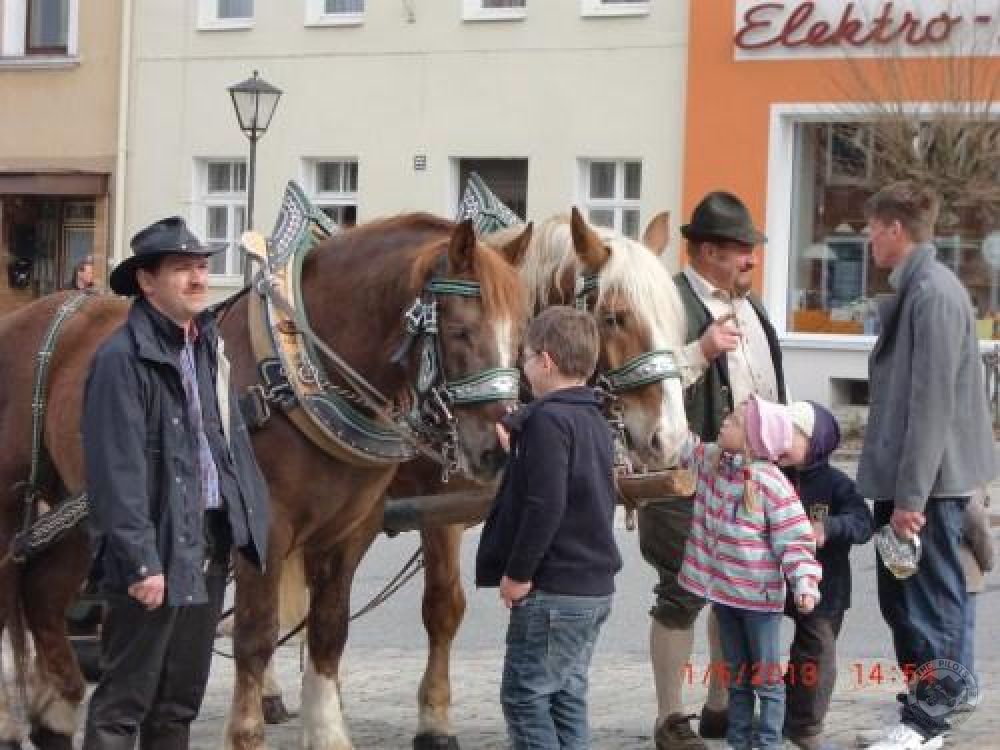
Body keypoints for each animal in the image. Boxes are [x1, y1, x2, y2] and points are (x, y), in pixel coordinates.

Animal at [0, 213, 530, 750]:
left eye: (521, 333)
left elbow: (329, 629)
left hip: (83, 514)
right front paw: (248, 730)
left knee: (42, 595)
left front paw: (328, 731)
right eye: (461, 330)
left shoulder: (350, 532)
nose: (497, 448)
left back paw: (56, 713)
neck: (295, 379)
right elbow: (255, 634)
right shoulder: (265, 529)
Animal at [260, 206, 692, 748]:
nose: (669, 438)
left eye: (675, 321)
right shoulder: (421, 507)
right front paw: (430, 719)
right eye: (615, 317)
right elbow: (438, 605)